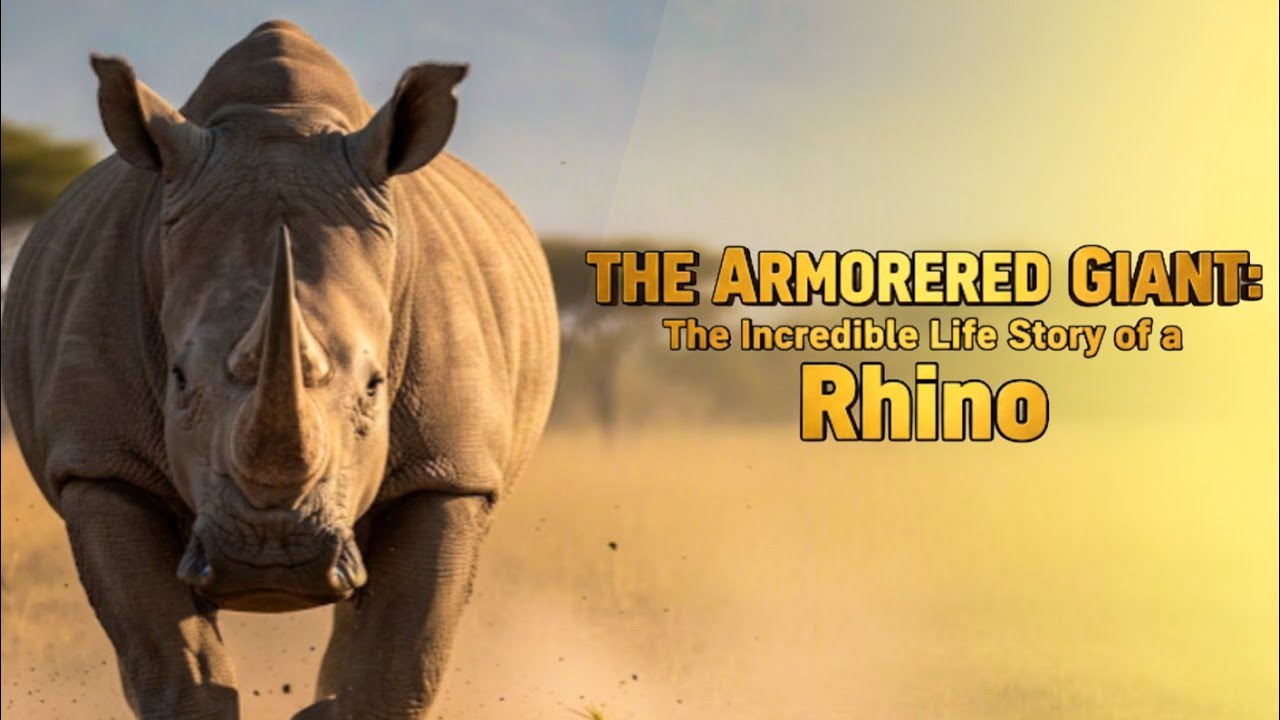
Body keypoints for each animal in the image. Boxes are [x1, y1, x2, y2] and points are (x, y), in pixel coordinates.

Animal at [1, 20, 558, 720]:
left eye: (375, 387)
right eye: (178, 380)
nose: (270, 556)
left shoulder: (452, 471)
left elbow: (401, 660)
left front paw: (329, 709)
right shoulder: (98, 462)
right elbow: (170, 661)